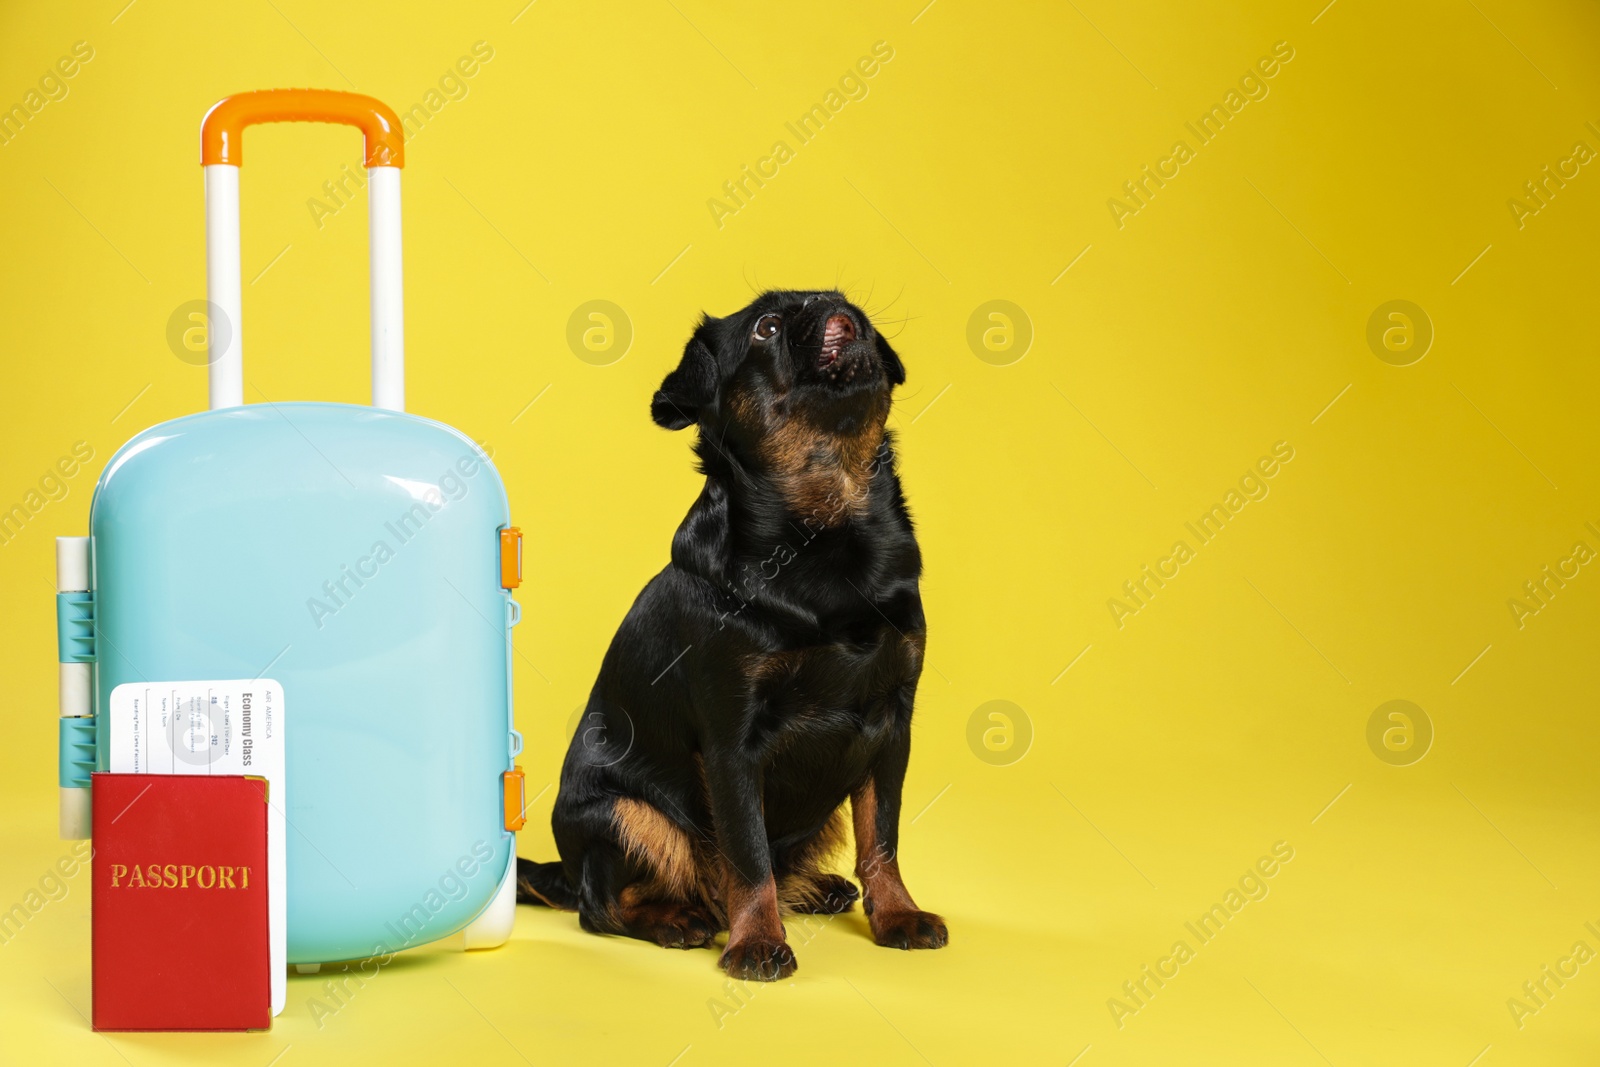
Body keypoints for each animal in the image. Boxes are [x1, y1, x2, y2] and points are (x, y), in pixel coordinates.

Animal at [521, 287, 947, 979]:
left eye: (841, 299)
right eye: (766, 329)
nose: (828, 302)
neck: (827, 527)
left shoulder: (891, 726)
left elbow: (881, 836)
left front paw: (896, 915)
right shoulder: (731, 744)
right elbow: (747, 856)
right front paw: (757, 942)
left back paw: (818, 889)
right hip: (620, 813)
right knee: (604, 905)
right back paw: (678, 920)